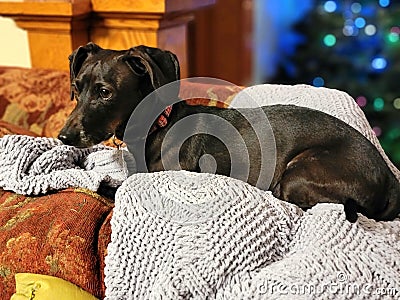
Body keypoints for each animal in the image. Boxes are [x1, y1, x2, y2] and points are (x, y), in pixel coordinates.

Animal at [58, 43, 400, 224]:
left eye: (105, 92)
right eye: (76, 88)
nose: (63, 137)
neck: (158, 126)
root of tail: (391, 181)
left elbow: (113, 190)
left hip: (298, 175)